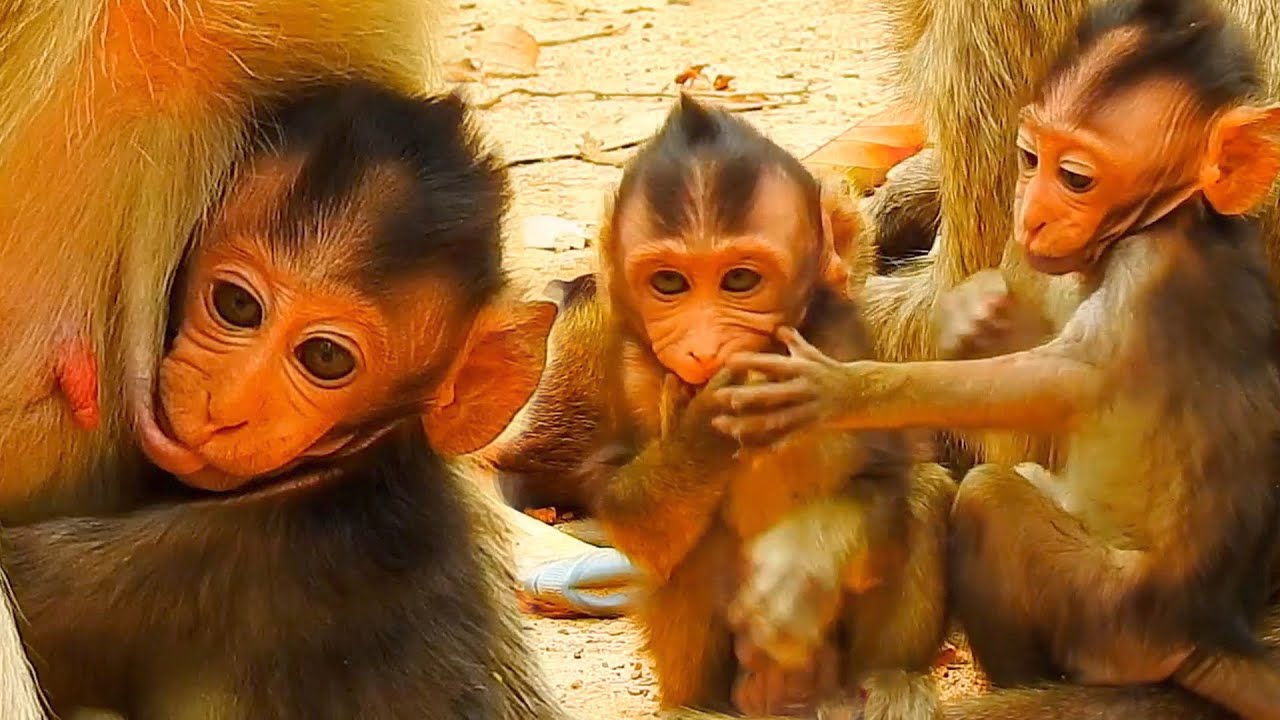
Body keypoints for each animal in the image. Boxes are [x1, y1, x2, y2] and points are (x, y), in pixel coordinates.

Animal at [576, 95, 952, 720]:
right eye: (669, 284)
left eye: (740, 280)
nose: (704, 348)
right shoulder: (621, 363)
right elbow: (624, 512)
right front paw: (704, 430)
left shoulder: (846, 348)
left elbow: (886, 474)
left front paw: (802, 571)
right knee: (695, 549)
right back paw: (695, 707)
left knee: (921, 495)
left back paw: (891, 681)